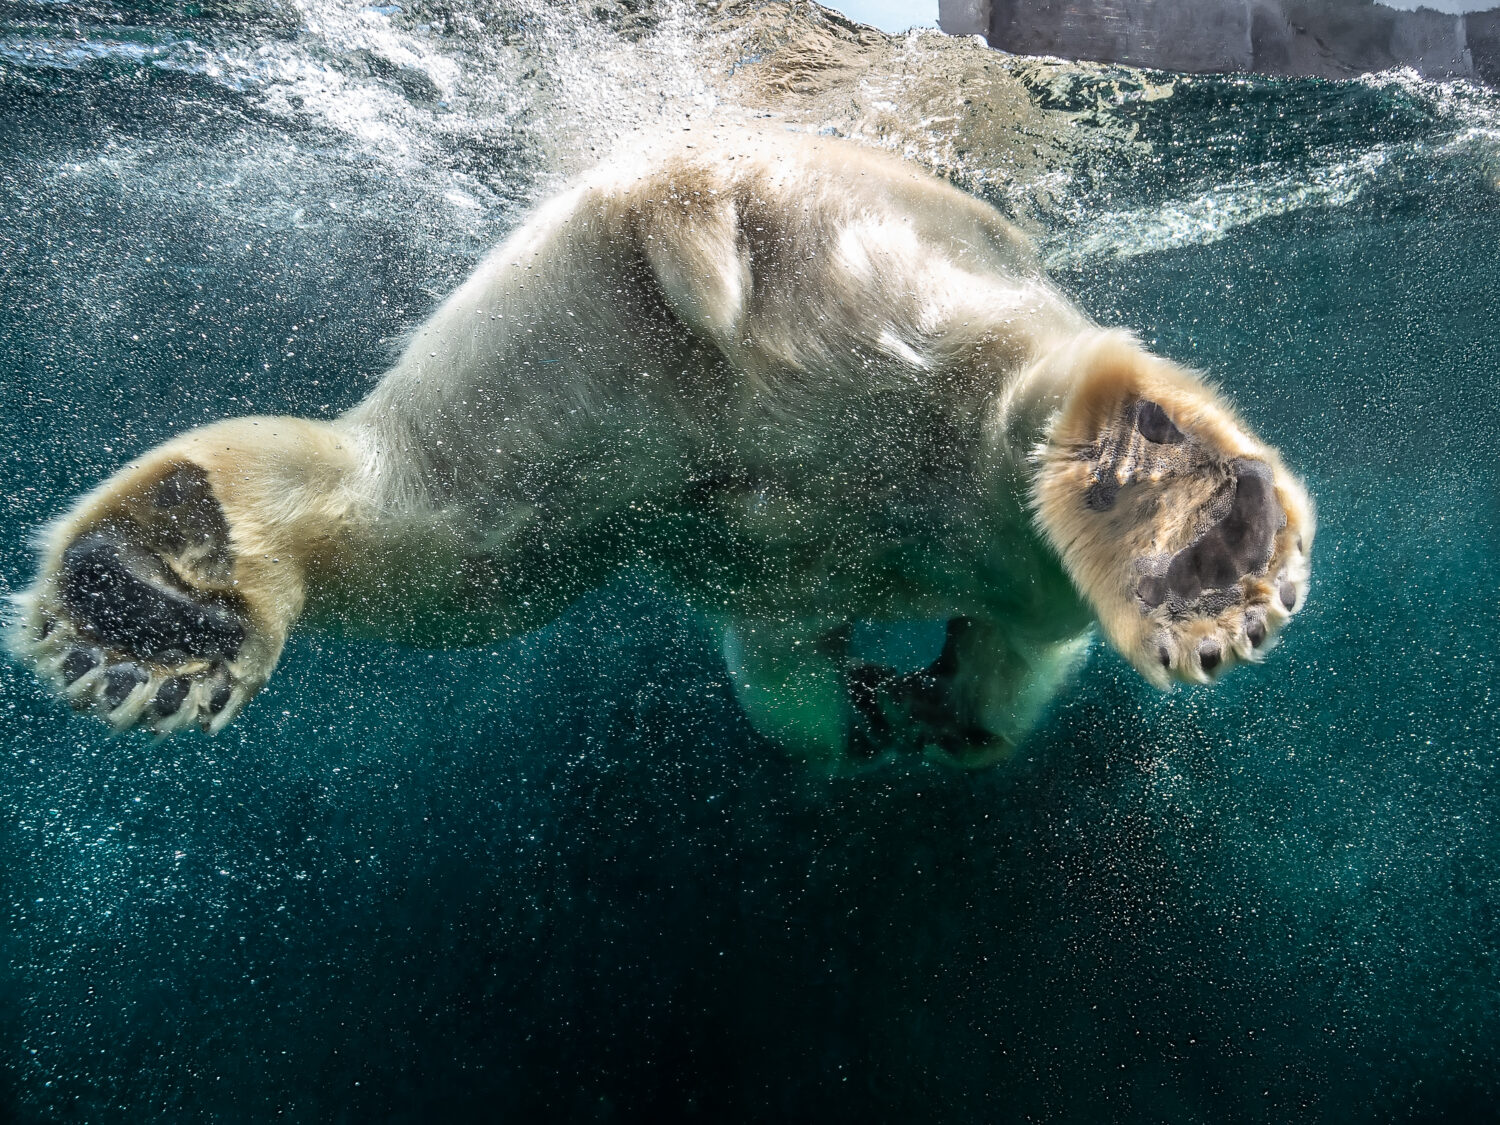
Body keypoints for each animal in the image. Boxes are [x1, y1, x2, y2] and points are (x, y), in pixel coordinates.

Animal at [8, 126, 1314, 769]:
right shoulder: (975, 586)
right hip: (883, 319)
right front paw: (918, 725)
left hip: (567, 334)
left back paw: (150, 592)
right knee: (1017, 412)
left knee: (443, 532)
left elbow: (788, 671)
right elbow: (1015, 652)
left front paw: (878, 718)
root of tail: (712, 180)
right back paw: (1201, 542)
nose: (899, 706)